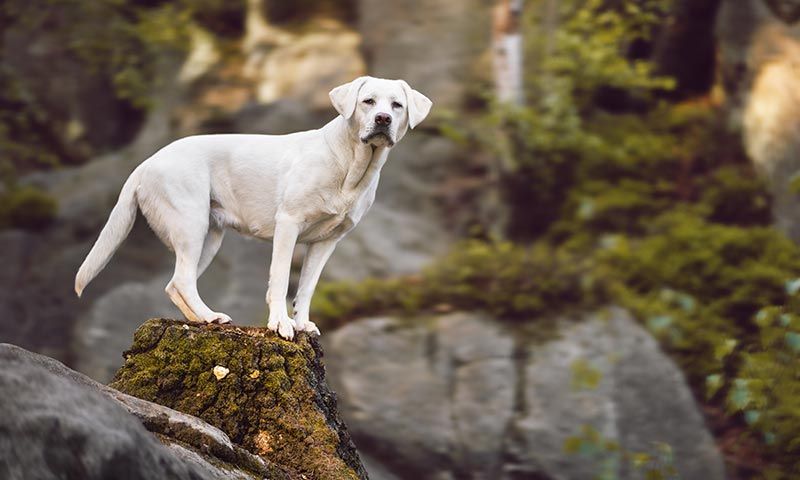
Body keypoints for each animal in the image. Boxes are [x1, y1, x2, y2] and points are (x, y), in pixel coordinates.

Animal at [76, 77, 432, 340]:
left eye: (397, 105)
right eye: (368, 101)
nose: (383, 119)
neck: (350, 164)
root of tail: (146, 162)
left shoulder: (327, 242)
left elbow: (307, 287)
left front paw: (302, 323)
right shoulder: (288, 225)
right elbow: (280, 280)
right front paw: (282, 324)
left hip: (210, 238)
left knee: (176, 284)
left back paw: (202, 319)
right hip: (191, 226)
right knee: (182, 280)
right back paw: (209, 316)